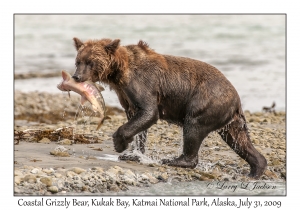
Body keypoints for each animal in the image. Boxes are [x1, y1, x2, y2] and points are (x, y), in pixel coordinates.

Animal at [71, 37, 268, 179]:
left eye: (90, 61)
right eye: (78, 61)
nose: (76, 76)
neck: (118, 74)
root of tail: (237, 99)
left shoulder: (143, 84)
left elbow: (149, 112)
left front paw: (120, 145)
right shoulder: (125, 95)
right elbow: (138, 120)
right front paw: (133, 153)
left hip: (207, 101)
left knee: (193, 127)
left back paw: (175, 160)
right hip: (230, 119)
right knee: (239, 140)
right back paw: (255, 169)